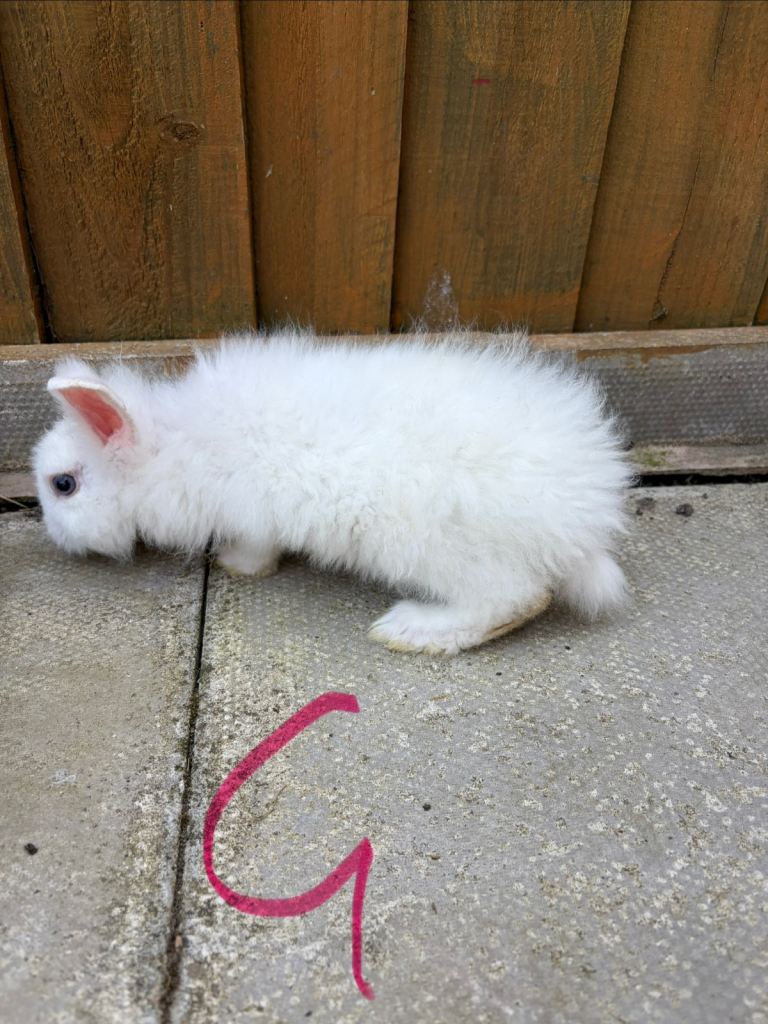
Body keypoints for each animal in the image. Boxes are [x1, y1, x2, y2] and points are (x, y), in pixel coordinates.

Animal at [33, 328, 632, 655]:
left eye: (63, 485)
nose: (52, 536)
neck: (172, 447)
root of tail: (586, 517)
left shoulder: (252, 512)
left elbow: (257, 549)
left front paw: (234, 565)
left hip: (443, 549)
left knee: (517, 597)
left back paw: (411, 630)